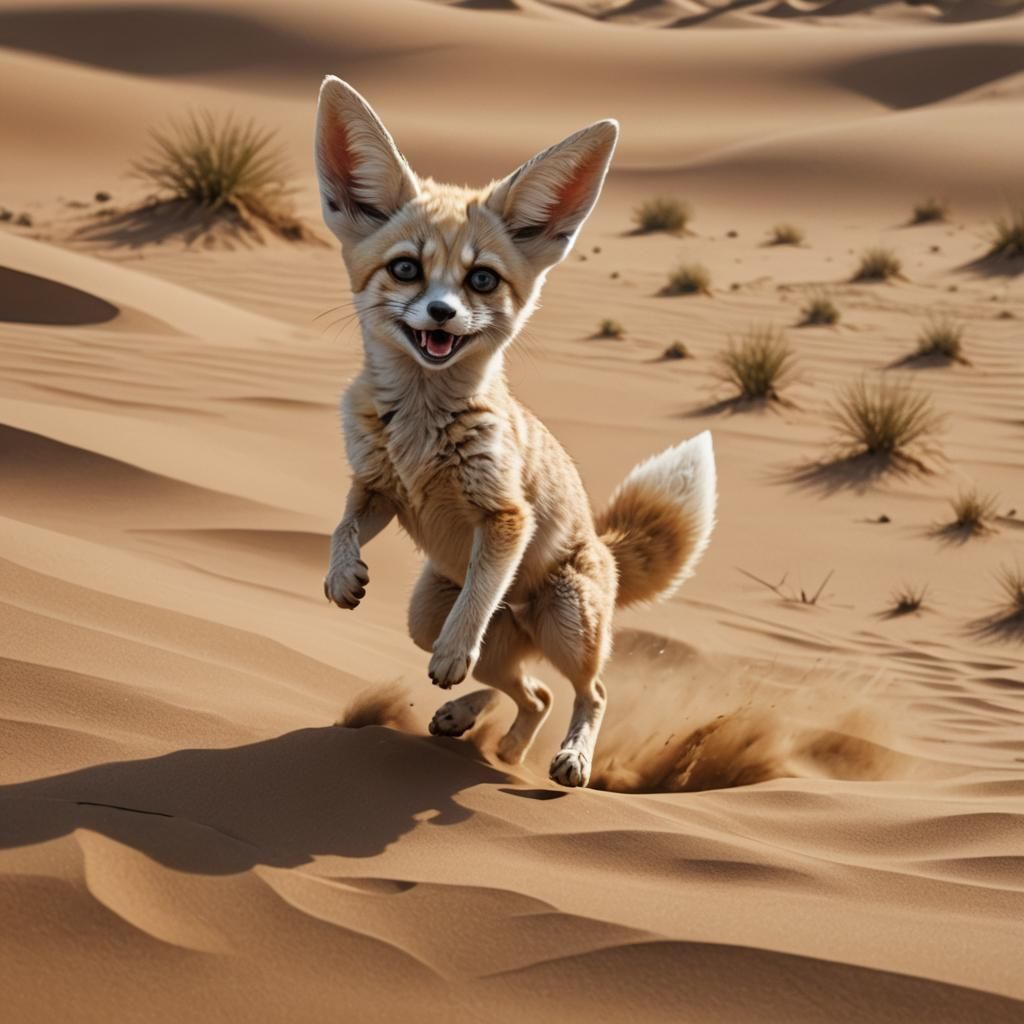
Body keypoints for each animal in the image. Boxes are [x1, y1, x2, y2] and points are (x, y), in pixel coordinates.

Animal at [316, 76, 717, 788]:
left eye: (481, 279)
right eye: (405, 269)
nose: (441, 313)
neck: (420, 426)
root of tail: (605, 548)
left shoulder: (506, 517)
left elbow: (477, 597)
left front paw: (453, 657)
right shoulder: (377, 487)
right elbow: (343, 526)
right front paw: (341, 577)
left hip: (565, 626)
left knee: (587, 691)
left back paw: (568, 756)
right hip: (430, 616)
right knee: (534, 691)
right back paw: (481, 731)